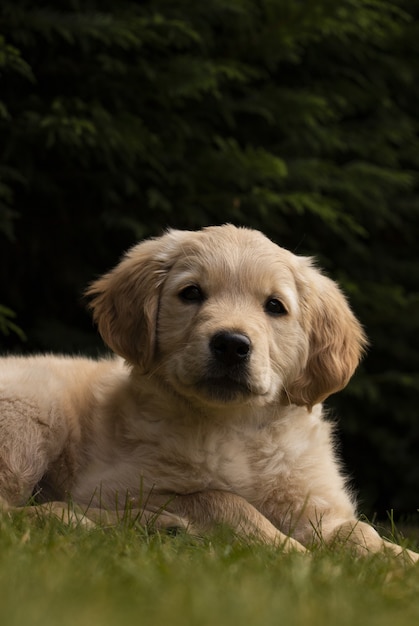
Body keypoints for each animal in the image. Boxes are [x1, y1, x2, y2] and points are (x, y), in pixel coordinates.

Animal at [0, 225, 418, 560]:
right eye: (191, 293)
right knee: (13, 513)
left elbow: (360, 532)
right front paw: (292, 553)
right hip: (31, 412)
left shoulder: (315, 505)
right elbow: (219, 498)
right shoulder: (110, 485)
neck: (237, 428)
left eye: (275, 306)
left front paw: (400, 562)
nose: (231, 344)